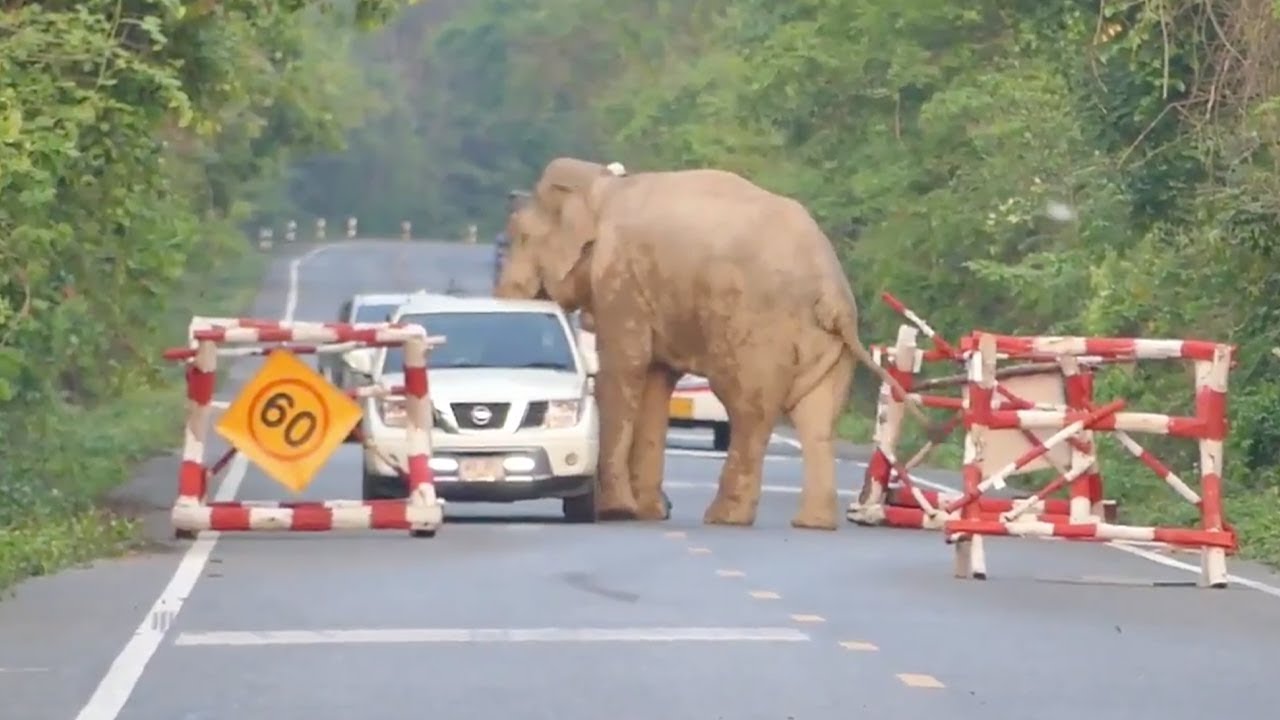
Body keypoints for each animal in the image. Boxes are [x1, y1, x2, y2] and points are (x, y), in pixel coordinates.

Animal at [495, 158, 937, 529]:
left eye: (519, 237)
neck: (604, 183)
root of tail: (831, 293)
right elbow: (655, 382)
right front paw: (649, 513)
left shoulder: (620, 279)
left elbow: (624, 369)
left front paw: (617, 512)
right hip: (828, 346)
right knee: (817, 420)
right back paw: (812, 524)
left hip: (757, 330)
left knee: (748, 410)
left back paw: (725, 517)